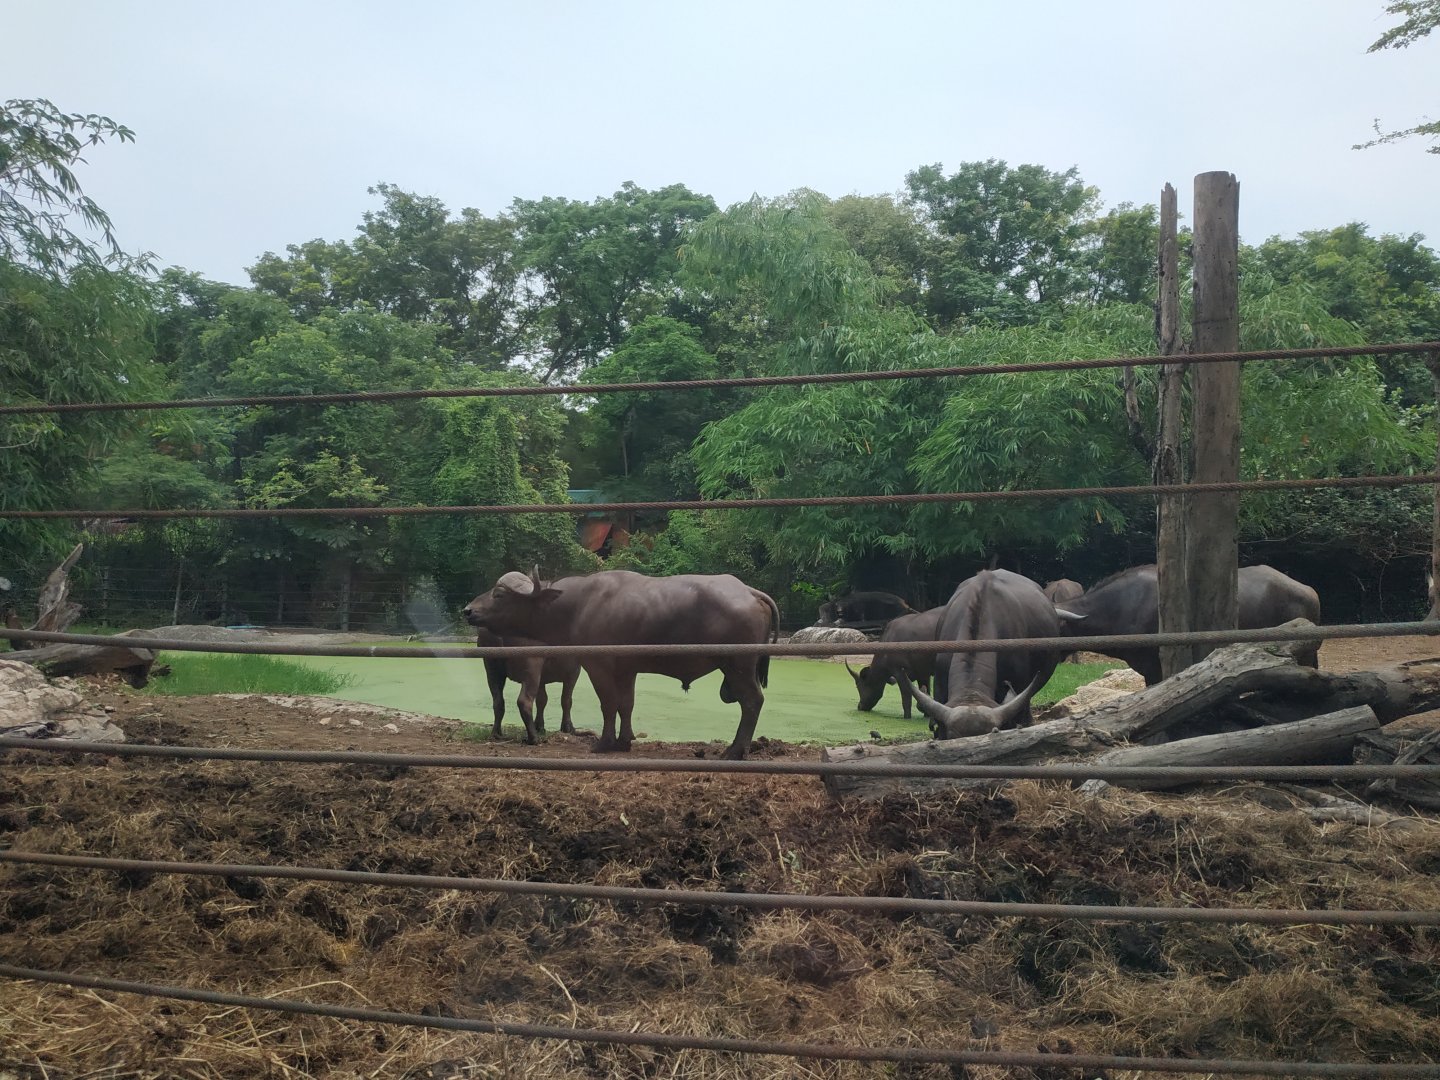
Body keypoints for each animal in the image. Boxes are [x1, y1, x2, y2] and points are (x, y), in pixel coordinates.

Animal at [464, 568, 780, 759]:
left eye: (499, 595)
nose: (468, 610)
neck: (578, 606)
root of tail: (750, 591)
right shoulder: (628, 669)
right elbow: (626, 704)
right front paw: (625, 740)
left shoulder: (597, 665)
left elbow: (608, 704)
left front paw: (604, 743)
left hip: (738, 665)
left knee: (752, 701)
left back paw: (735, 750)